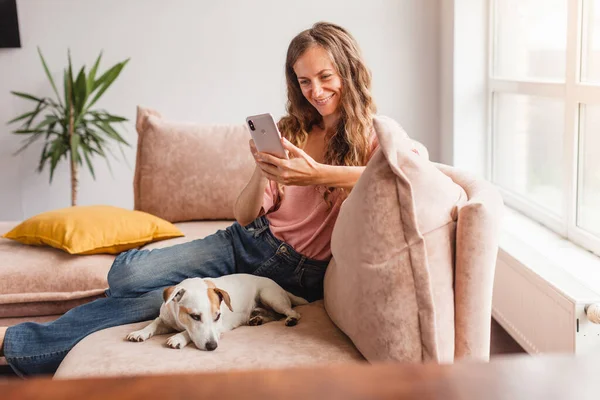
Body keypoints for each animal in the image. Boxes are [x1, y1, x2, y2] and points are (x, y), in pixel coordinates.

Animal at [124, 276, 308, 350]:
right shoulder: (165, 319)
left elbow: (187, 333)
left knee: (291, 312)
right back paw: (257, 319)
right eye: (195, 316)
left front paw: (178, 338)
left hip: (269, 296)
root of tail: (280, 287)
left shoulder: (219, 328)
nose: (213, 346)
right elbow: (154, 323)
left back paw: (291, 319)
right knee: (273, 316)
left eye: (218, 316)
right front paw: (140, 332)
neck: (179, 321)